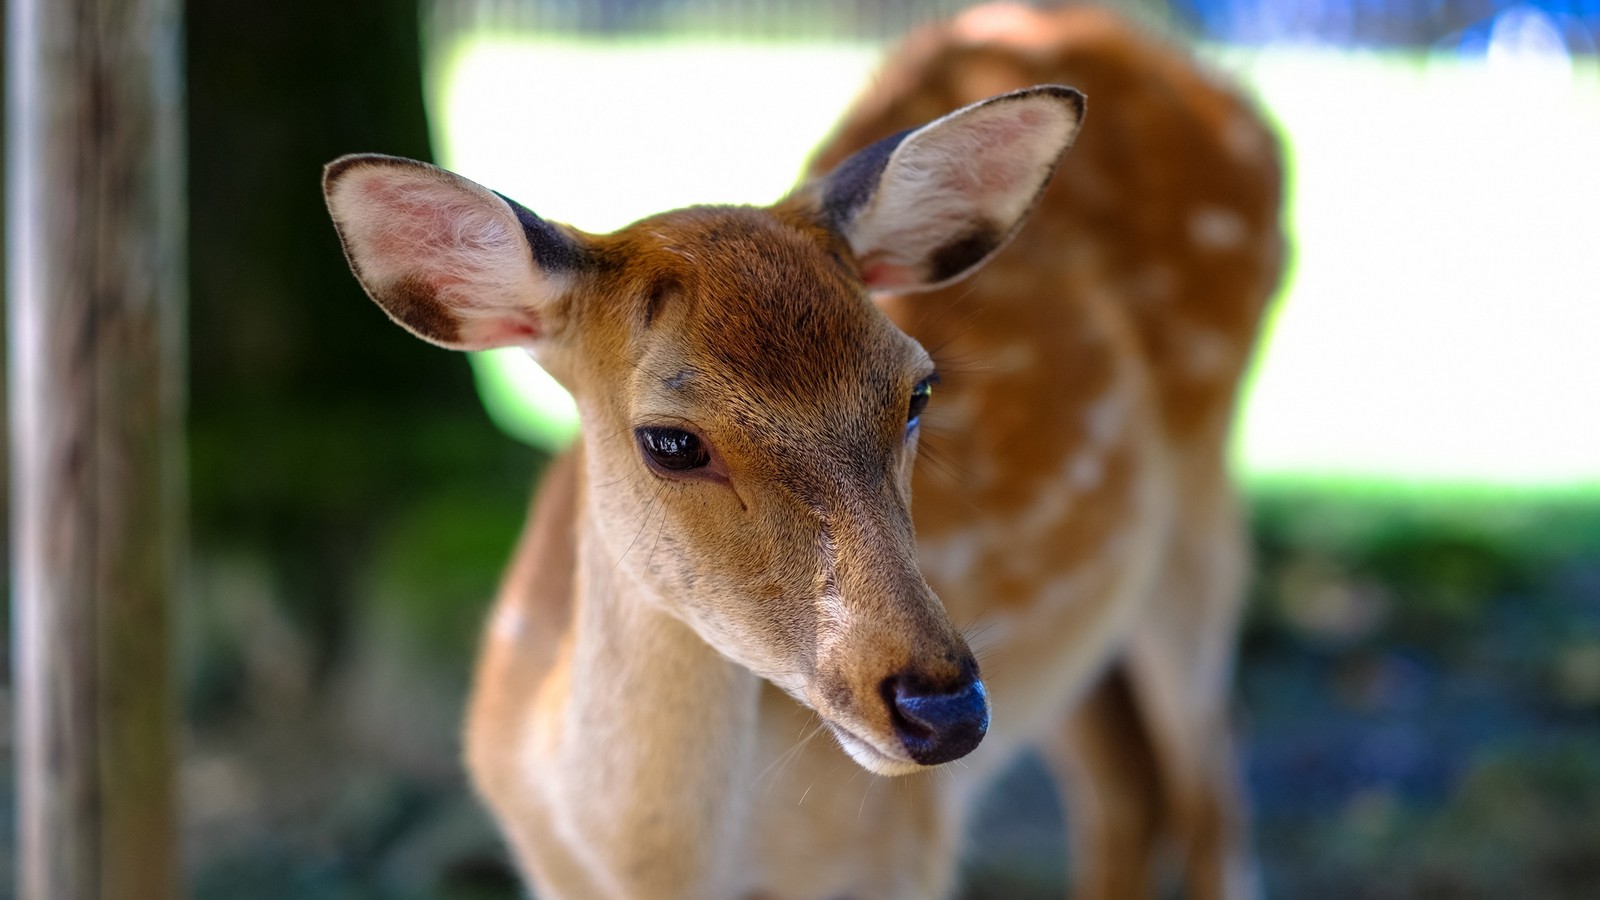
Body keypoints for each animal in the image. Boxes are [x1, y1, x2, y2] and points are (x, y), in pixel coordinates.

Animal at [321, 3, 1273, 890]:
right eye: (670, 441)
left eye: (918, 390)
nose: (945, 710)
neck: (650, 869)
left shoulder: (901, 853)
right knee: (1129, 793)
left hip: (1203, 502)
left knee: (1212, 797)